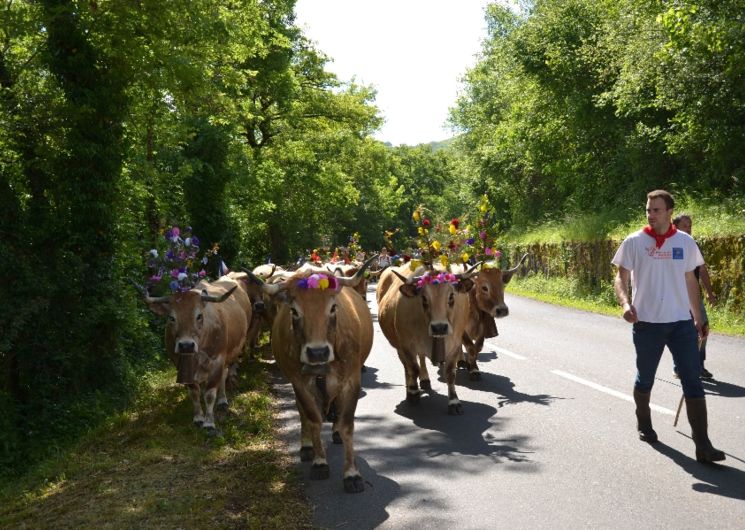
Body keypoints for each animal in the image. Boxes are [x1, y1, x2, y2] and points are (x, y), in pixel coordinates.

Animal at [140, 274, 253, 432]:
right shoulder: (179, 363)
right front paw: (199, 417)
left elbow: (210, 393)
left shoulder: (218, 360)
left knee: (223, 376)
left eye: (199, 316)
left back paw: (222, 400)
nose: (186, 345)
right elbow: (194, 391)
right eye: (171, 317)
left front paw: (209, 422)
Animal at [251, 256, 378, 490]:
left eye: (333, 307)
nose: (317, 352)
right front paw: (319, 462)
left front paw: (352, 473)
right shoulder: (299, 383)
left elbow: (347, 425)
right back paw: (307, 446)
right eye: (294, 311)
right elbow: (313, 419)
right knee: (303, 414)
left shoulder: (351, 382)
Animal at [378, 262, 476, 414]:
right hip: (398, 346)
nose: (439, 327)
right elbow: (413, 369)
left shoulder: (454, 345)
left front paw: (454, 401)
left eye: (451, 296)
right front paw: (413, 392)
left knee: (421, 358)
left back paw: (424, 380)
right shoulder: (406, 346)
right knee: (407, 366)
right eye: (423, 298)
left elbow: (450, 373)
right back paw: (410, 387)